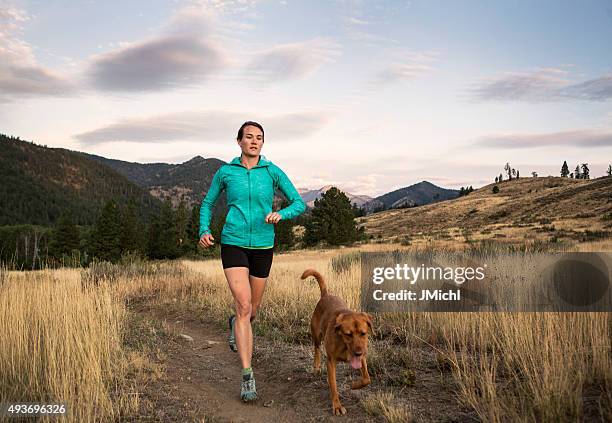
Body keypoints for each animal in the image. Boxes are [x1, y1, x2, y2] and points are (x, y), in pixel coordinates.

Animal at [298, 270, 370, 416]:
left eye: (363, 333)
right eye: (348, 334)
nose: (358, 352)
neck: (345, 346)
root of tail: (326, 295)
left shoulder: (362, 358)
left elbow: (366, 379)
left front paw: (354, 385)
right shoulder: (331, 362)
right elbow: (334, 386)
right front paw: (337, 406)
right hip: (316, 335)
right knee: (317, 349)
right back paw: (317, 366)